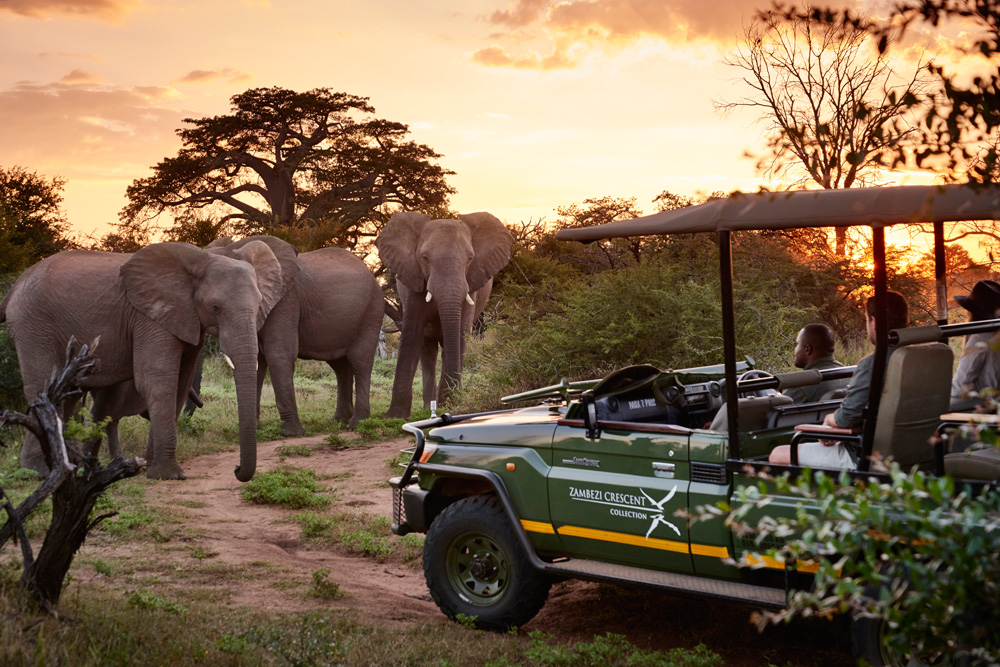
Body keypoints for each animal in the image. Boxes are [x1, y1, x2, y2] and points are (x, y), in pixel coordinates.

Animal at [0, 241, 283, 480]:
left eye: (260, 305)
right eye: (215, 308)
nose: (236, 470)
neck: (201, 258)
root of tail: (14, 288)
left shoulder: (184, 317)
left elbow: (179, 384)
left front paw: (150, 465)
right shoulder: (150, 317)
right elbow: (157, 381)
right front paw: (169, 475)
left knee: (68, 394)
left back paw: (73, 466)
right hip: (33, 325)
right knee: (45, 390)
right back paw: (39, 472)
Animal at [209, 236, 384, 433]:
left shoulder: (286, 300)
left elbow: (279, 354)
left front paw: (291, 432)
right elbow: (258, 362)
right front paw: (254, 430)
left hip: (372, 310)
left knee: (359, 360)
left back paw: (356, 424)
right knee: (340, 366)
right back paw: (339, 420)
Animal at [376, 211, 513, 418]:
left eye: (470, 258)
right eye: (424, 258)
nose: (455, 401)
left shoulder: (471, 285)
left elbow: (459, 335)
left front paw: (450, 404)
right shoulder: (412, 281)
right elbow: (411, 335)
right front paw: (394, 416)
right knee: (428, 352)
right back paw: (428, 407)